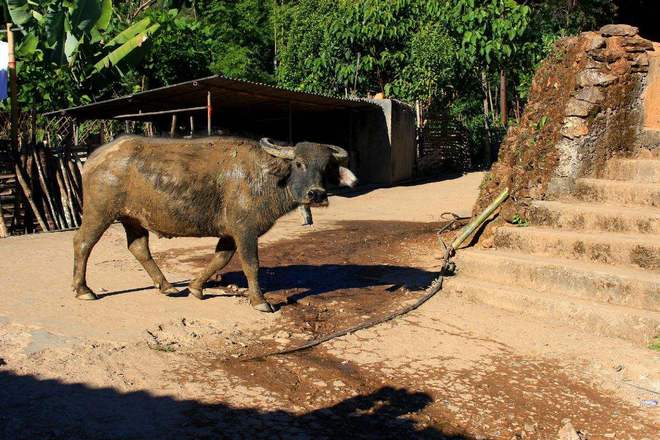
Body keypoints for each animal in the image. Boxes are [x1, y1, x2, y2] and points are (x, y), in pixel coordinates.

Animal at [71, 136, 356, 312]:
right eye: (299, 163)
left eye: (327, 167)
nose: (316, 194)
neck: (266, 178)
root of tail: (94, 157)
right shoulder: (245, 230)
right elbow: (251, 265)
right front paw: (260, 301)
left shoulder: (230, 233)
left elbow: (221, 258)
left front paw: (196, 287)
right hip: (100, 212)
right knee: (83, 243)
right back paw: (83, 289)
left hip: (132, 219)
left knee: (139, 248)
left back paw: (167, 286)